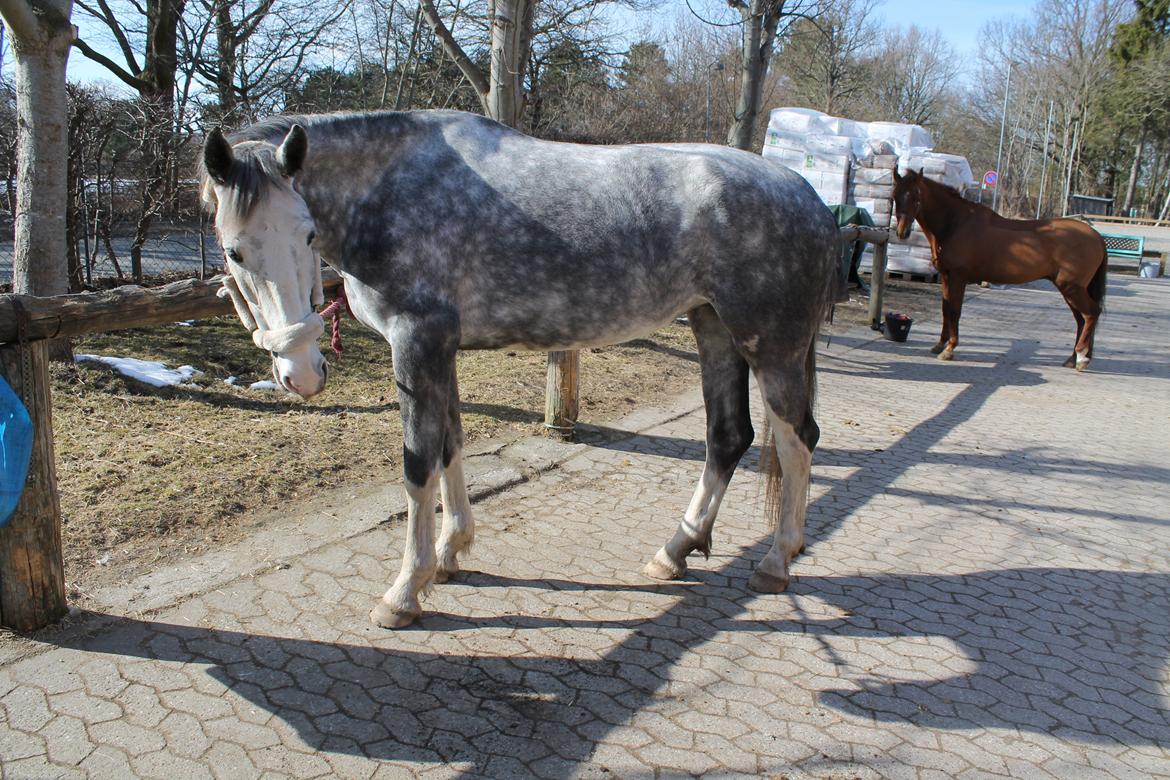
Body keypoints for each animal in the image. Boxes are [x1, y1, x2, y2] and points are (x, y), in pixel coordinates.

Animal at [203, 111, 842, 626]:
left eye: (308, 233)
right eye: (235, 251)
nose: (302, 373)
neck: (393, 191)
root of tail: (809, 196)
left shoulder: (416, 344)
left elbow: (417, 466)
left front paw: (405, 590)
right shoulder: (441, 351)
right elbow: (451, 446)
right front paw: (451, 554)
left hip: (772, 346)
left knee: (797, 440)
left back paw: (776, 560)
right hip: (713, 328)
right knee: (728, 437)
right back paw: (674, 552)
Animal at [893, 169, 1104, 371]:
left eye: (916, 197)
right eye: (895, 196)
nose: (902, 232)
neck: (955, 224)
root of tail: (1096, 236)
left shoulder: (958, 278)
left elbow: (955, 311)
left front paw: (950, 349)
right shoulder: (946, 277)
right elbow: (946, 309)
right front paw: (940, 345)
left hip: (1071, 288)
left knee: (1091, 314)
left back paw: (1082, 357)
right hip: (1070, 290)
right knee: (1081, 320)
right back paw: (1073, 359)